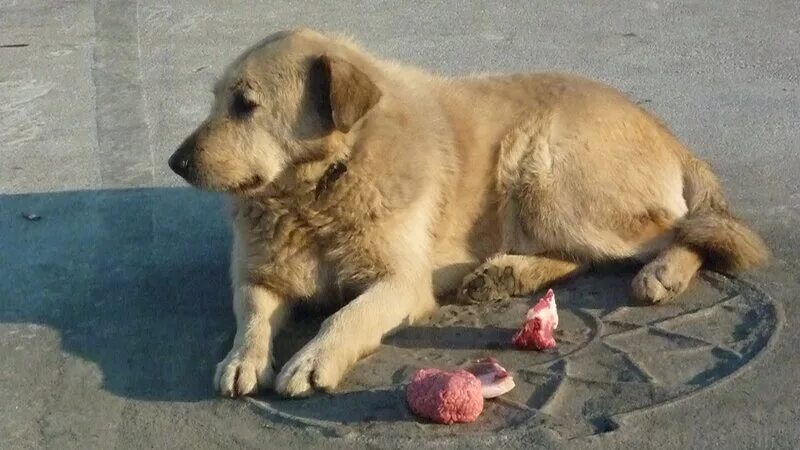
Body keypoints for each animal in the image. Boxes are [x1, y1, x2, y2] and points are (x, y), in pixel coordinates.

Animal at [167, 28, 768, 398]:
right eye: (216, 99)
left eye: (246, 105)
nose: (176, 162)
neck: (319, 192)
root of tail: (668, 134)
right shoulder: (260, 275)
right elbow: (251, 314)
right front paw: (243, 358)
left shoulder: (402, 283)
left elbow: (348, 315)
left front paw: (316, 359)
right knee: (582, 256)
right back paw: (504, 274)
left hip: (545, 174)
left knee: (696, 230)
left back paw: (664, 271)